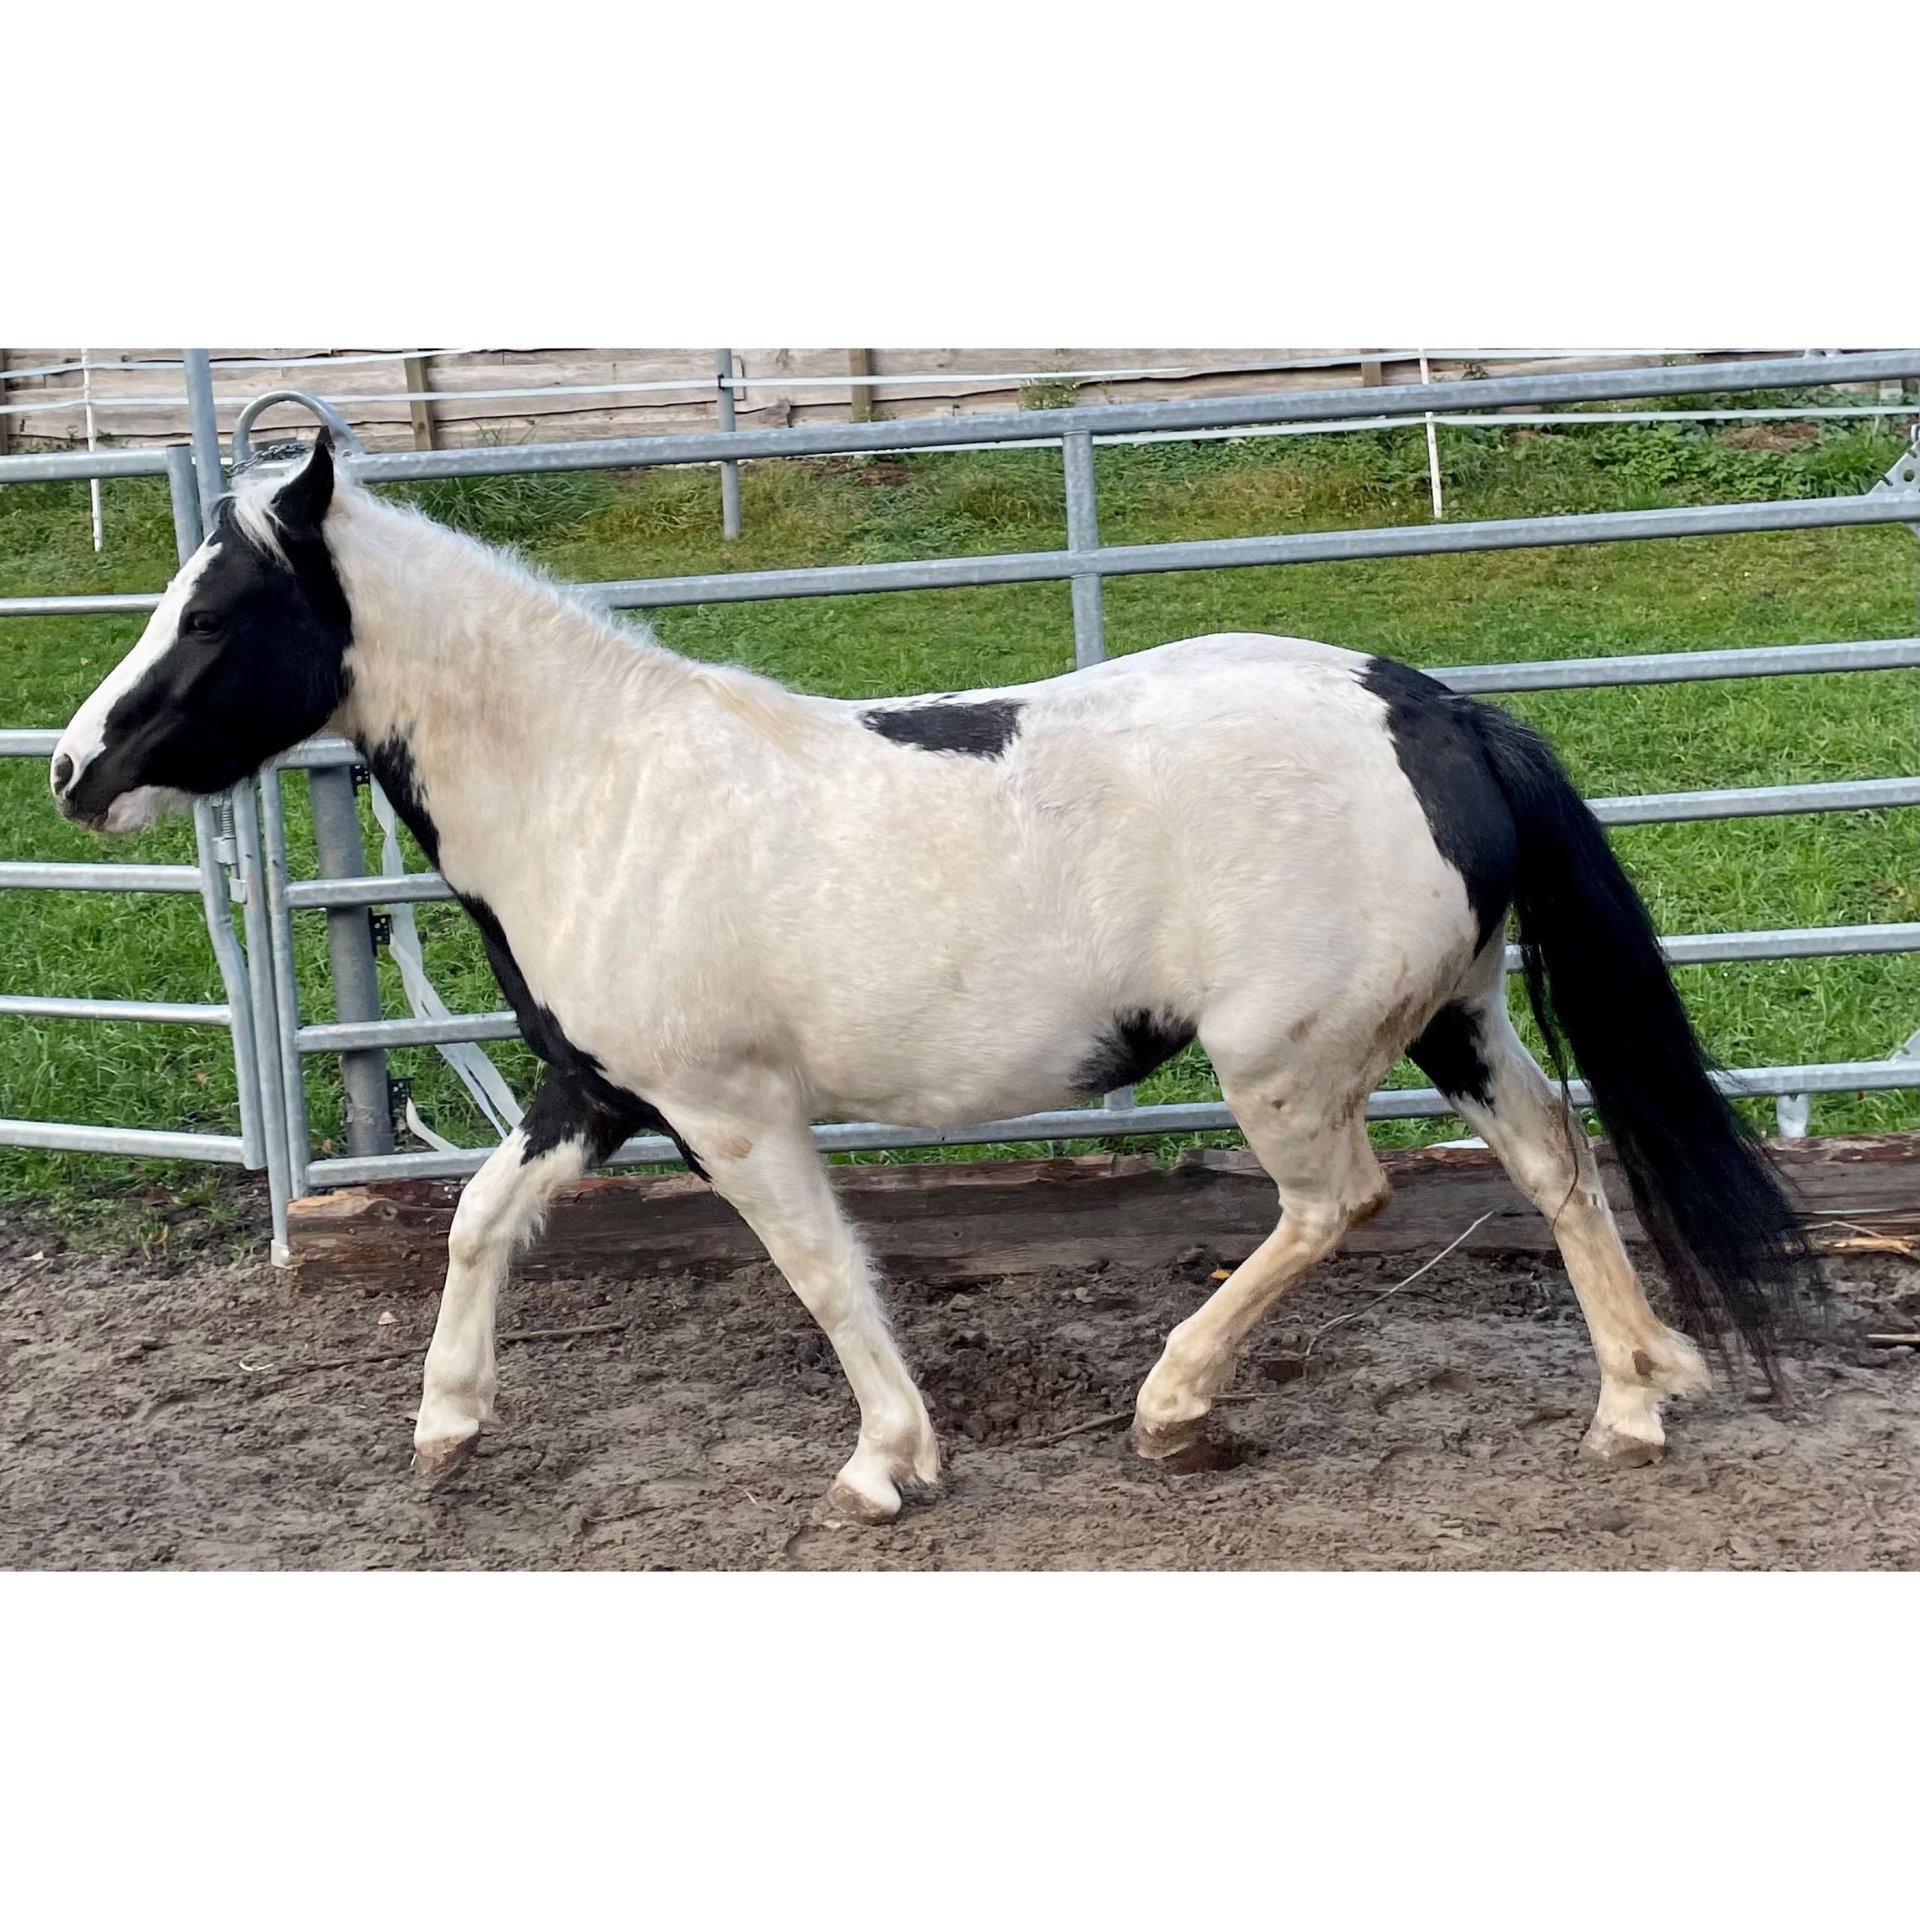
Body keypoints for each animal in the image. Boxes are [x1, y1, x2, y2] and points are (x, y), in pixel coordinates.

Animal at [52, 441, 1804, 1520]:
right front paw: (445, 1428)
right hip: (1456, 1015)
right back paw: (1638, 1398)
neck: (604, 791)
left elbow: (825, 1272)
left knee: (1340, 1205)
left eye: (213, 613)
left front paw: (888, 1464)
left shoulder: (728, 1109)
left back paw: (1177, 1405)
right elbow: (481, 1220)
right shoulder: (593, 1088)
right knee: (1555, 1160)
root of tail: (1439, 712)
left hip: (1287, 1061)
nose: (73, 772)